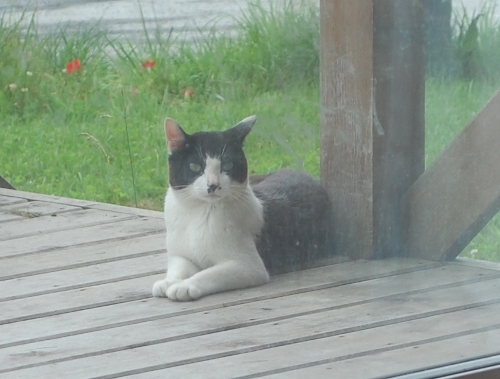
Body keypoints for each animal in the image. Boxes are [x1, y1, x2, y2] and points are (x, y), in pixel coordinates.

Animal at [152, 116, 332, 302]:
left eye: (228, 165)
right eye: (194, 166)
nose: (213, 185)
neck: (200, 212)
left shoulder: (248, 265)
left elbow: (210, 273)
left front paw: (184, 286)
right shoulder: (180, 255)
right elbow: (179, 267)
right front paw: (169, 281)